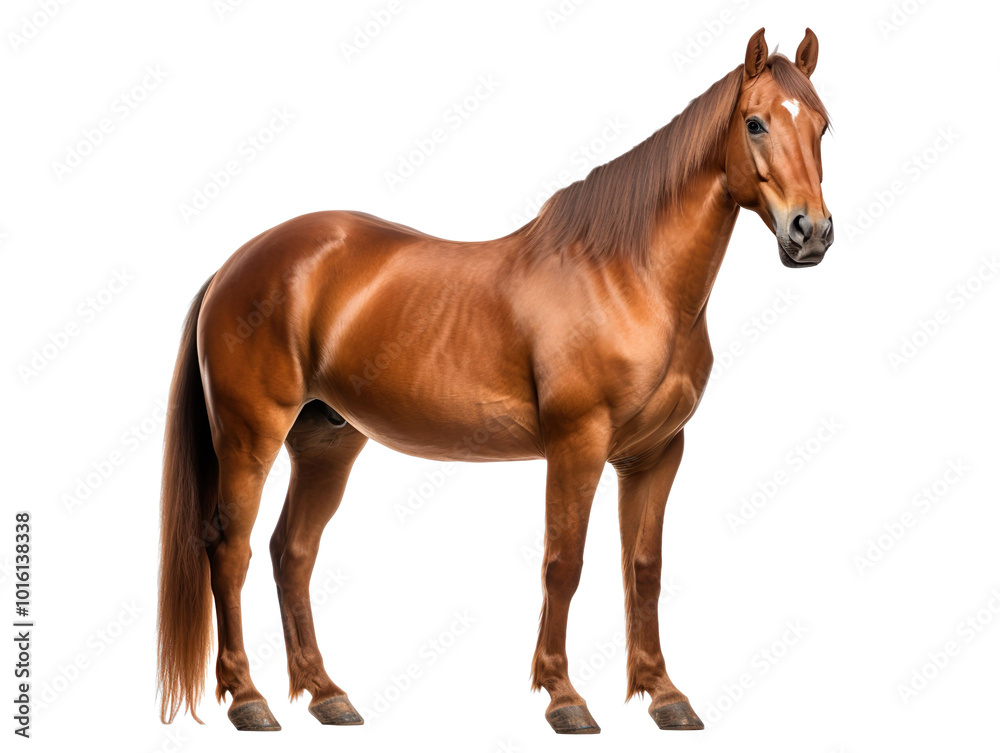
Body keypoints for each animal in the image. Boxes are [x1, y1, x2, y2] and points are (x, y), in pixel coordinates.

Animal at [157, 27, 832, 734]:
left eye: (822, 125)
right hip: (250, 437)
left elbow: (643, 569)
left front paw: (665, 694)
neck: (628, 276)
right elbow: (564, 564)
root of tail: (238, 262)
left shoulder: (655, 454)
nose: (810, 233)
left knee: (292, 552)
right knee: (230, 549)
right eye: (755, 123)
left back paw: (326, 694)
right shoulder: (577, 446)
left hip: (326, 442)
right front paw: (564, 698)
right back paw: (248, 699)